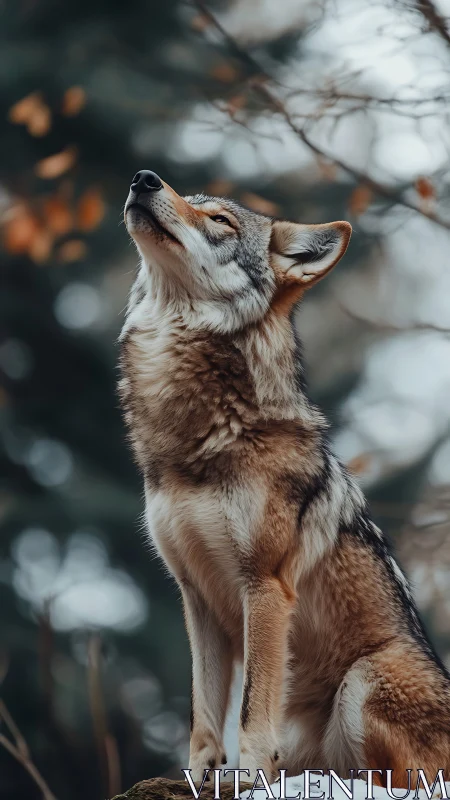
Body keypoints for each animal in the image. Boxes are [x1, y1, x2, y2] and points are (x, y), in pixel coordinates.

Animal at [118, 169, 450, 788]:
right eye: (188, 200)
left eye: (220, 221)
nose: (143, 179)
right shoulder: (196, 596)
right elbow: (204, 711)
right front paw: (201, 777)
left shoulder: (266, 585)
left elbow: (252, 705)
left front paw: (248, 775)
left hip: (364, 678)